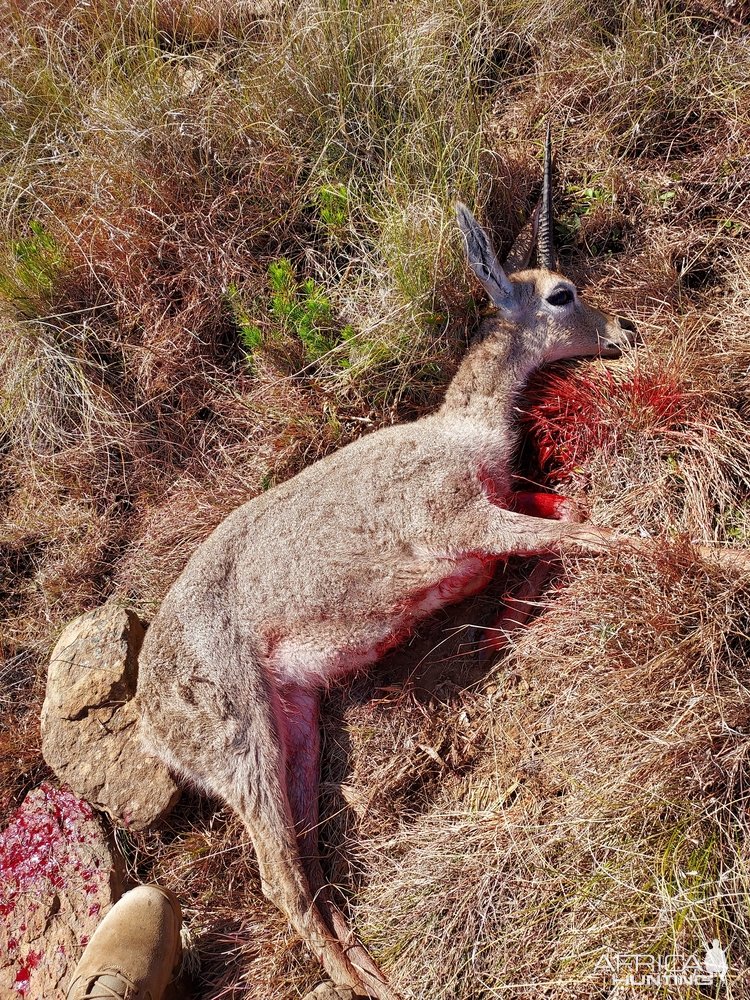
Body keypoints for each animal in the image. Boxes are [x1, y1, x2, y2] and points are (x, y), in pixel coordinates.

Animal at [135, 133, 748, 1000]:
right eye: (561, 293)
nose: (626, 327)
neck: (460, 430)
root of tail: (149, 722)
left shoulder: (507, 502)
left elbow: (574, 517)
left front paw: (510, 620)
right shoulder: (463, 519)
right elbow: (598, 535)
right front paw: (730, 558)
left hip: (298, 725)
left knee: (312, 871)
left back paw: (371, 966)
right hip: (242, 739)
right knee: (281, 884)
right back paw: (375, 986)